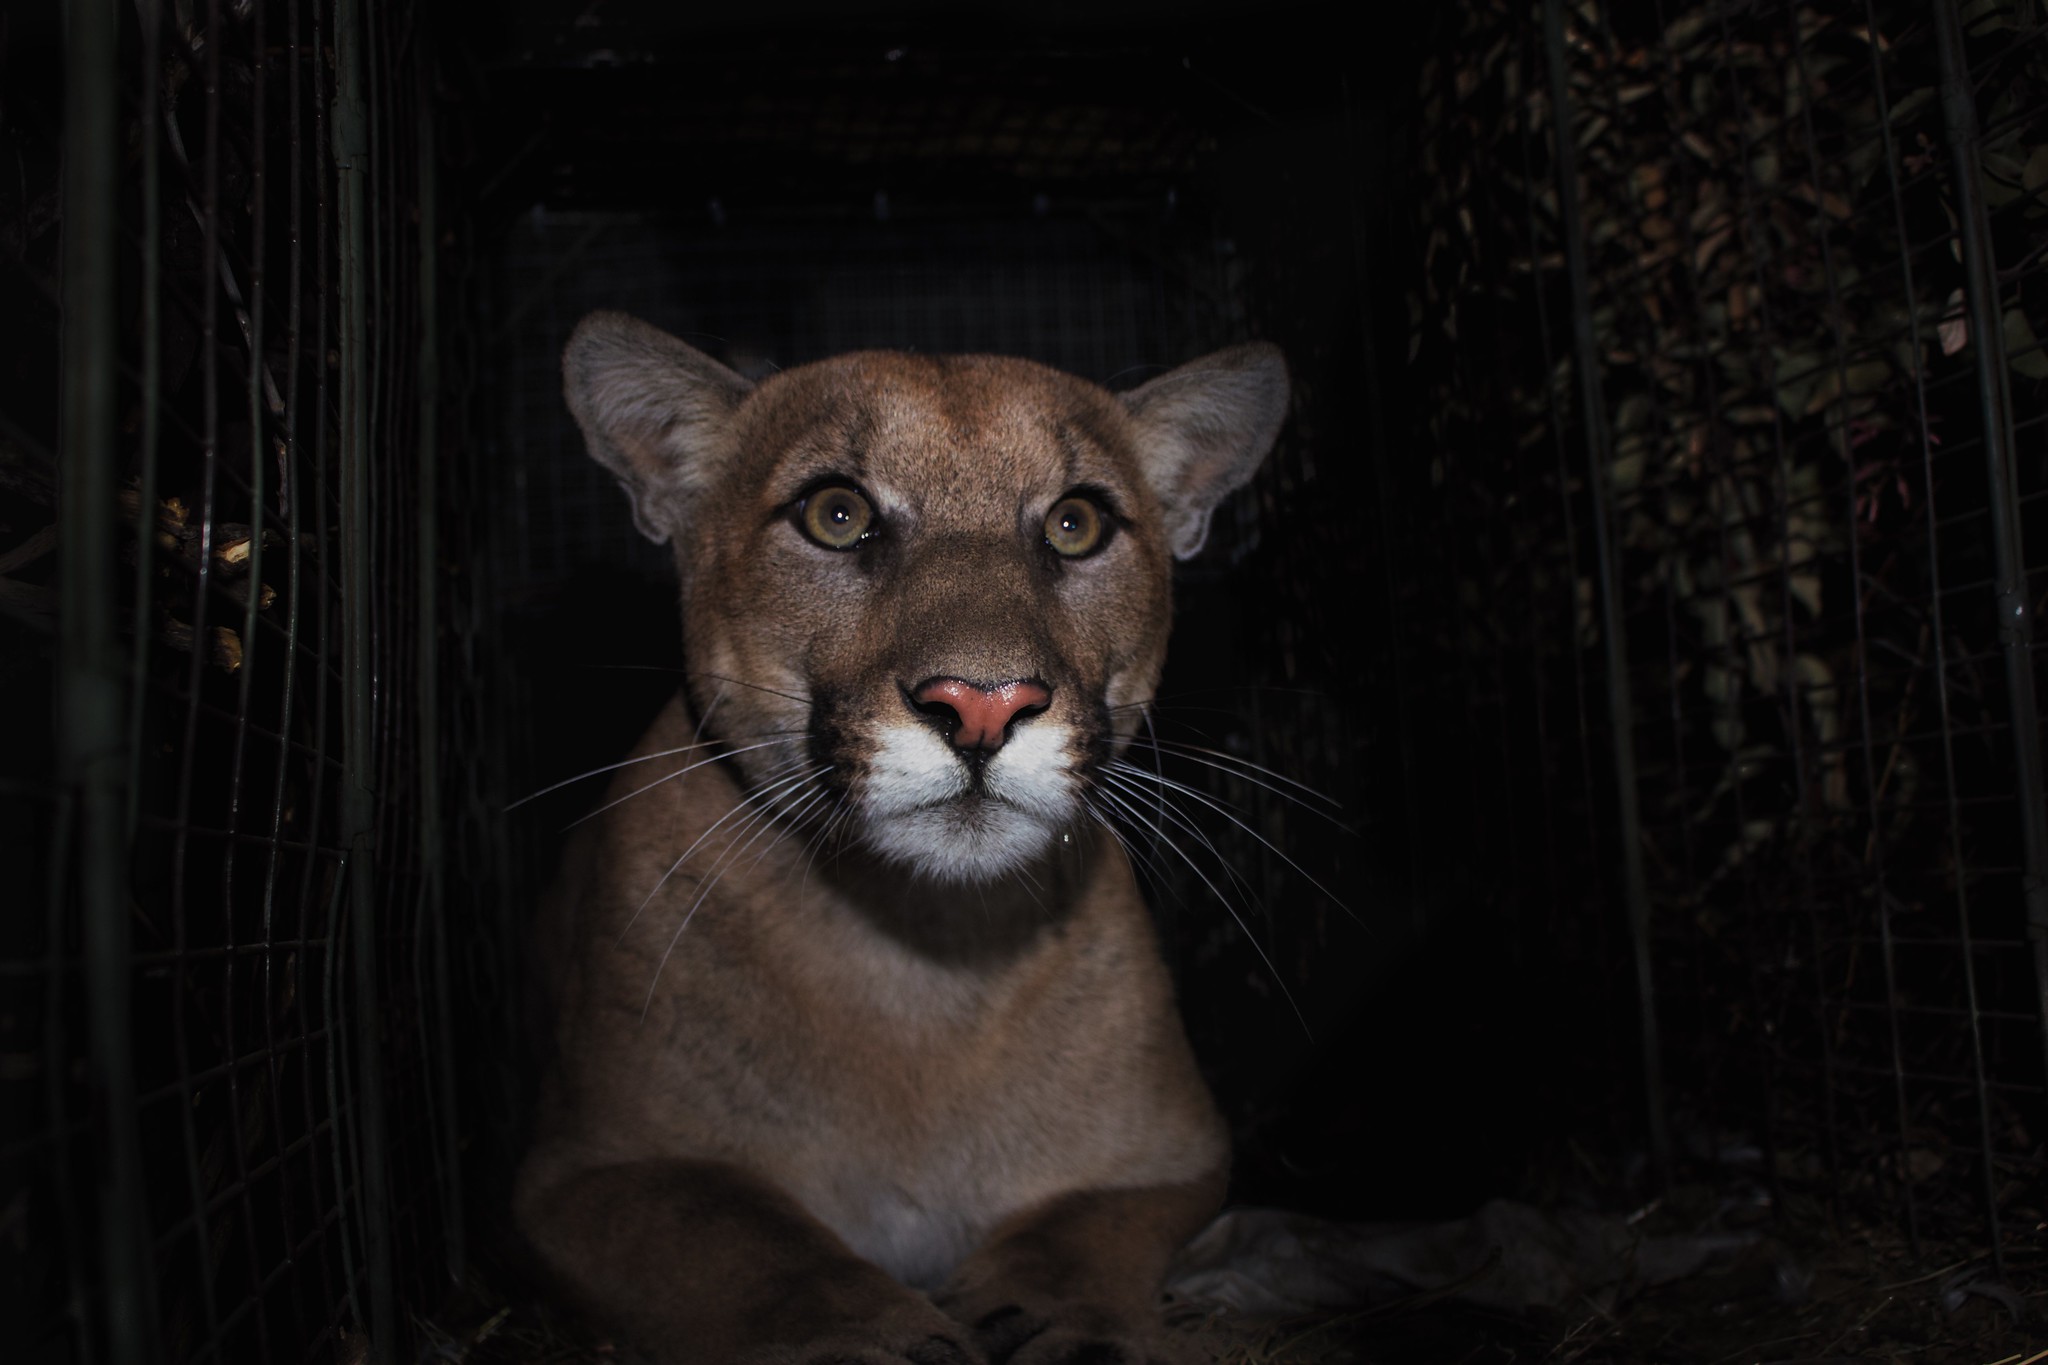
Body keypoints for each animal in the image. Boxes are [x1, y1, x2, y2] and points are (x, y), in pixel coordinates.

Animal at [516, 313, 1277, 1365]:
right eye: (836, 514)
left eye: (1076, 524)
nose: (984, 703)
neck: (924, 951)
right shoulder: (591, 1169)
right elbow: (752, 1242)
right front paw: (863, 1336)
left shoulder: (1167, 1158)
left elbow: (1081, 1232)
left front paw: (1067, 1325)